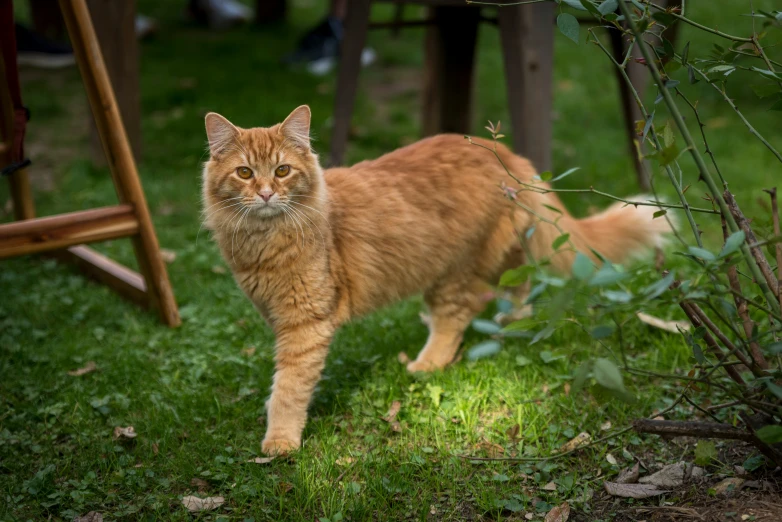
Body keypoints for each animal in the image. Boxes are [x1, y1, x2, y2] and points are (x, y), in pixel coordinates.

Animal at [204, 104, 672, 450]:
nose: (266, 193)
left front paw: (280, 441)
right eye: (245, 173)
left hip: (453, 268)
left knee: (459, 315)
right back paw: (513, 322)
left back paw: (427, 363)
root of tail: (507, 155)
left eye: (282, 171)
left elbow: (288, 388)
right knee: (519, 283)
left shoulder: (304, 325)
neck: (263, 242)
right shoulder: (277, 316)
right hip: (497, 253)